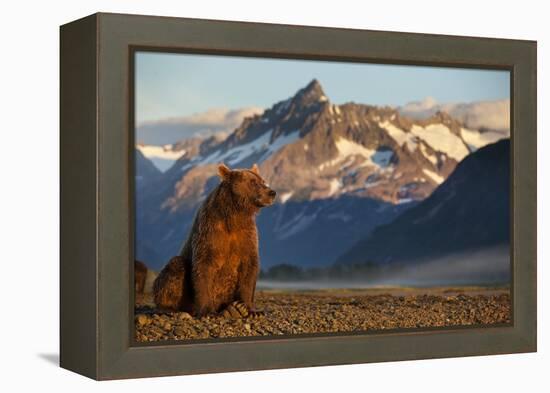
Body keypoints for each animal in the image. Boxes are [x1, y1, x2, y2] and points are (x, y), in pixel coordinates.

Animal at [153, 161, 276, 316]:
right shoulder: (210, 232)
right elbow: (203, 266)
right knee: (175, 267)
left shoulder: (247, 235)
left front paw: (248, 308)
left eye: (263, 181)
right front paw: (207, 311)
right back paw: (169, 308)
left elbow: (249, 267)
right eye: (253, 182)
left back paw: (233, 309)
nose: (272, 192)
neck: (235, 214)